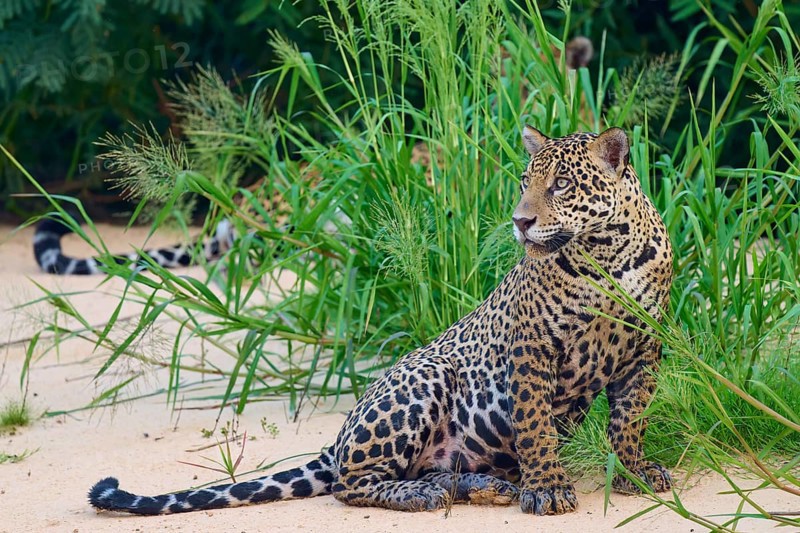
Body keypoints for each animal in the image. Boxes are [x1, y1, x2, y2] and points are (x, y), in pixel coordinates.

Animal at [88, 125, 674, 517]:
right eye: (526, 182)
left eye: (561, 187)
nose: (520, 221)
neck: (607, 252)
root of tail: (337, 438)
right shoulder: (532, 348)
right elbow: (533, 424)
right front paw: (548, 486)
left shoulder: (645, 350)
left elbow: (630, 420)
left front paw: (635, 470)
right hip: (426, 379)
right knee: (350, 483)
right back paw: (428, 494)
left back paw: (477, 486)